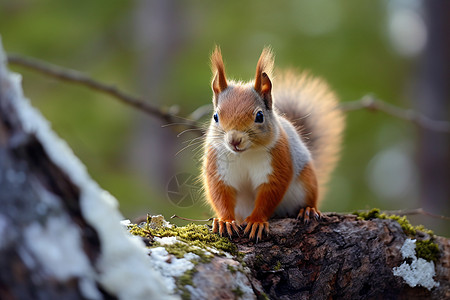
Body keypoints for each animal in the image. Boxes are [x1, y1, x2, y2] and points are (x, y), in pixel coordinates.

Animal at [201, 45, 344, 240]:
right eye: (215, 116)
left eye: (260, 116)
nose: (234, 140)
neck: (245, 154)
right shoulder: (218, 164)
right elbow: (220, 193)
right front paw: (226, 221)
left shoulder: (278, 160)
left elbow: (269, 194)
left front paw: (256, 221)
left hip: (307, 182)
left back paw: (308, 210)